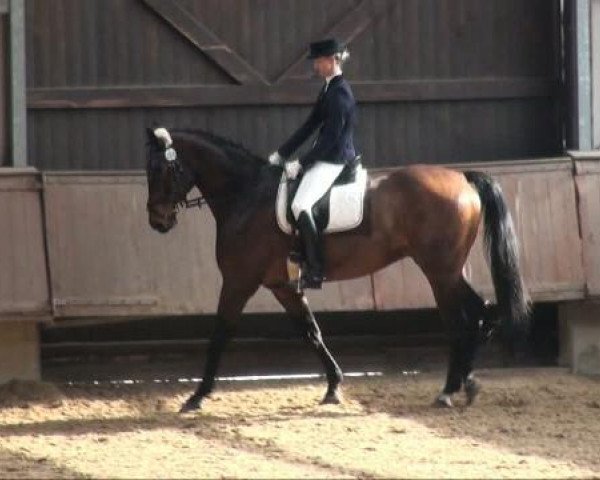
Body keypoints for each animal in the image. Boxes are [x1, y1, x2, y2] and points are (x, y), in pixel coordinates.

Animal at [145, 126, 528, 412]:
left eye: (159, 170)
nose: (157, 221)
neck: (246, 195)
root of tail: (462, 178)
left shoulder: (239, 281)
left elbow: (220, 334)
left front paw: (198, 395)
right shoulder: (282, 285)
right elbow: (311, 332)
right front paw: (333, 387)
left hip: (440, 273)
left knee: (463, 322)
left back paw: (451, 389)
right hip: (449, 271)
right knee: (481, 313)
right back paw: (466, 384)